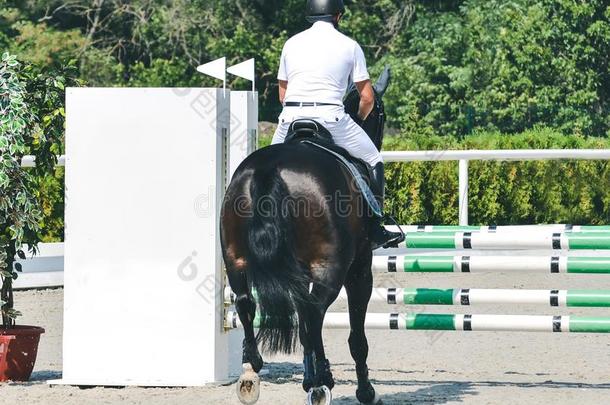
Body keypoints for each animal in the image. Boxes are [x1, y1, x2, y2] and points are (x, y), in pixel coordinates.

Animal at [222, 69, 390, 404]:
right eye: (380, 112)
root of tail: (268, 169)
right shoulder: (360, 269)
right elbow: (356, 335)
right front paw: (364, 390)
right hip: (332, 269)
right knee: (314, 312)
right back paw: (322, 381)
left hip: (234, 258)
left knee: (248, 304)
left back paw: (251, 370)